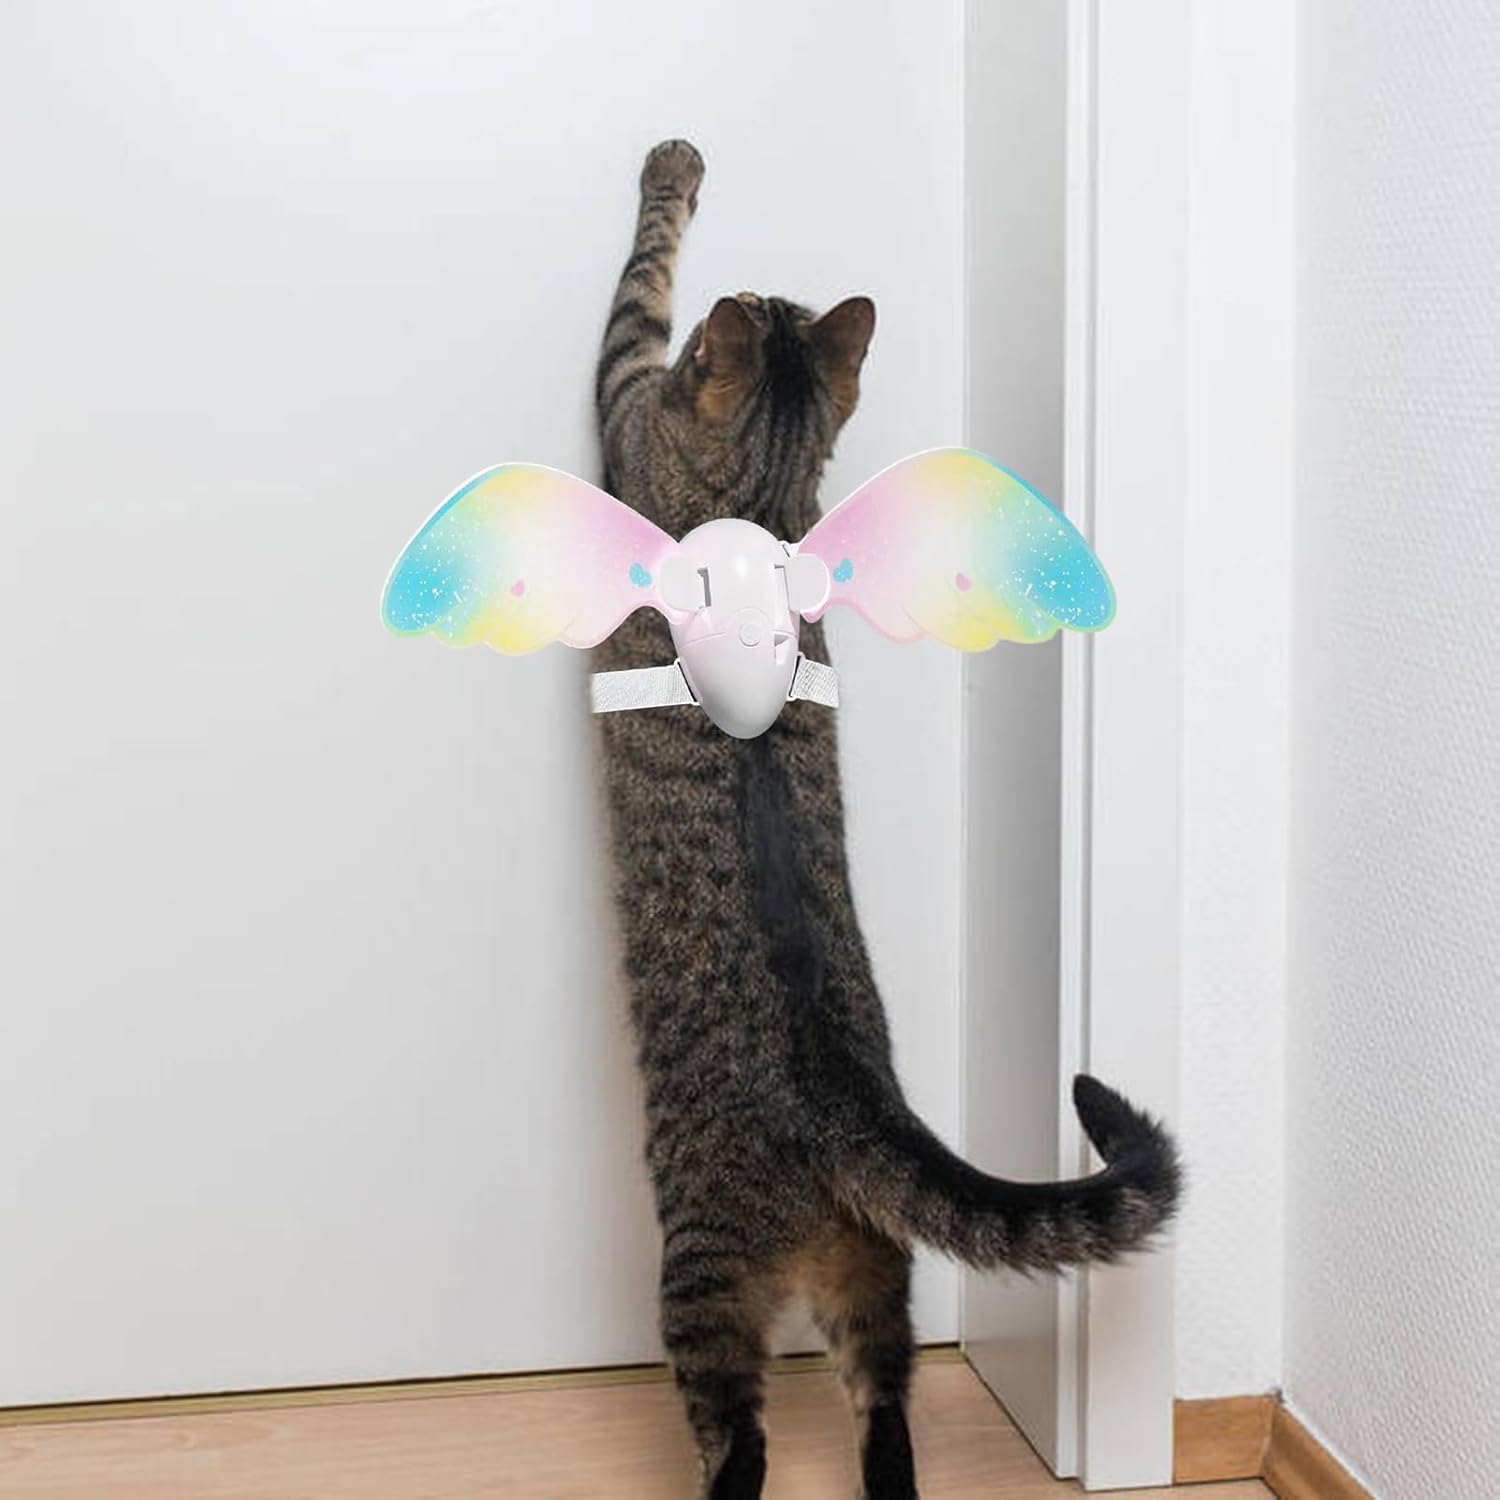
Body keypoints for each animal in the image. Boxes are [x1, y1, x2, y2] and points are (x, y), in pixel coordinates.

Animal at [591, 139, 1180, 1500]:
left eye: (728, 319)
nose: (753, 283)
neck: (763, 502)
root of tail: (855, 1111)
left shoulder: (624, 395)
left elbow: (638, 283)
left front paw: (672, 172)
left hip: (698, 1276)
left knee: (743, 1441)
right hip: (877, 1278)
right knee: (887, 1415)